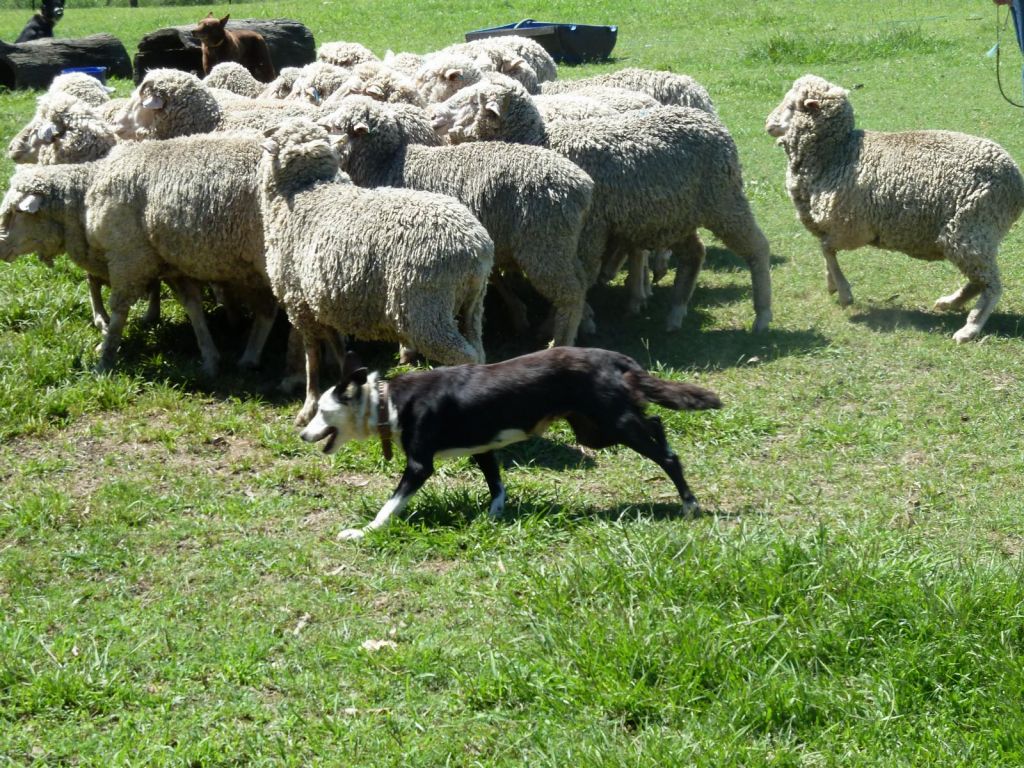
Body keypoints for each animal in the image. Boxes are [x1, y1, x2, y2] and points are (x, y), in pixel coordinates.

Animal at [258, 118, 493, 428]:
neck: (308, 190)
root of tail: (476, 245)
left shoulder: (300, 304)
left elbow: (312, 358)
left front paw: (308, 408)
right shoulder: (326, 302)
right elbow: (338, 349)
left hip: (426, 309)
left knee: (464, 355)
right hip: (473, 304)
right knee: (479, 349)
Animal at [299, 348, 724, 540]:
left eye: (322, 410)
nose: (302, 434)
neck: (387, 401)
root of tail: (614, 358)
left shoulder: (420, 465)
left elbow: (390, 506)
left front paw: (366, 530)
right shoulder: (484, 450)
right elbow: (497, 485)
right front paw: (494, 516)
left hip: (614, 425)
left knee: (667, 456)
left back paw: (690, 503)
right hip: (596, 432)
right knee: (656, 421)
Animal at [319, 96, 593, 346]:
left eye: (334, 127)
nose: (318, 126)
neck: (384, 163)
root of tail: (582, 185)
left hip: (543, 242)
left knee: (570, 293)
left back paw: (560, 341)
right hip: (562, 242)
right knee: (580, 280)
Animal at [770, 73, 1024, 342]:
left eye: (791, 106)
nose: (768, 123)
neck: (835, 153)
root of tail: (1015, 178)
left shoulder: (852, 228)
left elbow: (826, 249)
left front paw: (844, 291)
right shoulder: (834, 226)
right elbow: (825, 249)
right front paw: (832, 284)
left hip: (971, 228)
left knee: (991, 285)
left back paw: (969, 328)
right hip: (975, 235)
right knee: (978, 280)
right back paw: (949, 302)